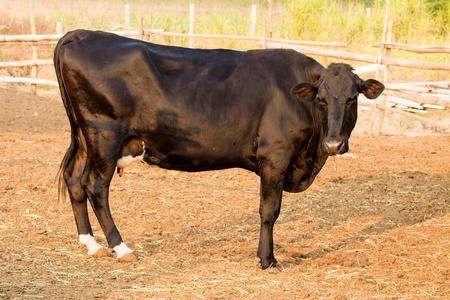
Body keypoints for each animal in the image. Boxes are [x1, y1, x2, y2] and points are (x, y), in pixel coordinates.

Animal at [52, 30, 384, 270]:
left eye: (353, 98)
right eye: (321, 100)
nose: (334, 144)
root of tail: (84, 34)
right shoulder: (274, 157)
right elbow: (269, 211)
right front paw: (267, 260)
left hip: (85, 139)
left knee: (74, 180)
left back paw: (90, 243)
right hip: (104, 137)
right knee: (96, 187)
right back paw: (121, 248)